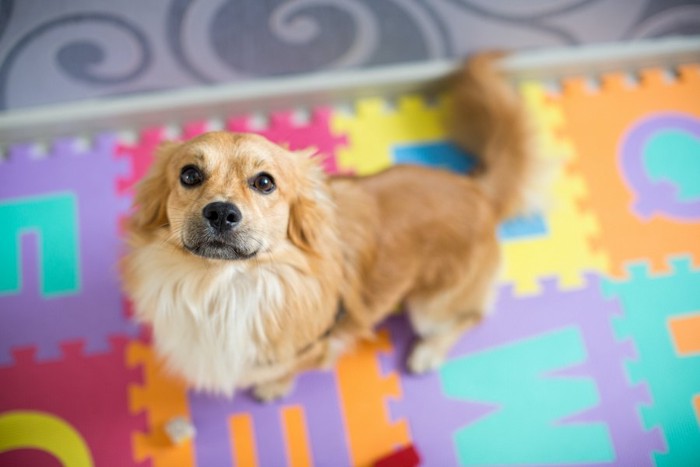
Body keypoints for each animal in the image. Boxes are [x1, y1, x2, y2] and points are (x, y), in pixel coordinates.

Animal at [123, 53, 532, 400]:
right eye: (189, 175)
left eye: (265, 182)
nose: (222, 212)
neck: (224, 287)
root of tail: (477, 188)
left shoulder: (313, 346)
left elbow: (287, 369)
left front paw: (272, 387)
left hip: (430, 307)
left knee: (471, 316)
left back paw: (428, 352)